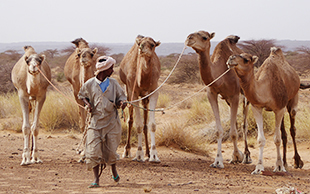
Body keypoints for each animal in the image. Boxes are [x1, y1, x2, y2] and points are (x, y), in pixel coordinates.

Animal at [120, 34, 161, 162]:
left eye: (152, 45)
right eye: (140, 44)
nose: (142, 49)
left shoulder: (153, 92)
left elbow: (152, 125)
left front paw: (153, 155)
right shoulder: (133, 92)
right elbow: (137, 125)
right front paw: (138, 154)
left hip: (144, 97)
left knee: (145, 124)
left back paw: (147, 153)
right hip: (128, 91)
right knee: (130, 120)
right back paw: (127, 151)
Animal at [184, 30, 252, 168]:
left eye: (204, 37)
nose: (189, 38)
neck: (221, 73)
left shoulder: (235, 96)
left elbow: (233, 132)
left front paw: (237, 156)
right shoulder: (212, 94)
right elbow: (219, 130)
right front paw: (218, 161)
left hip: (245, 96)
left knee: (244, 124)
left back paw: (247, 156)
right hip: (228, 100)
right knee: (236, 123)